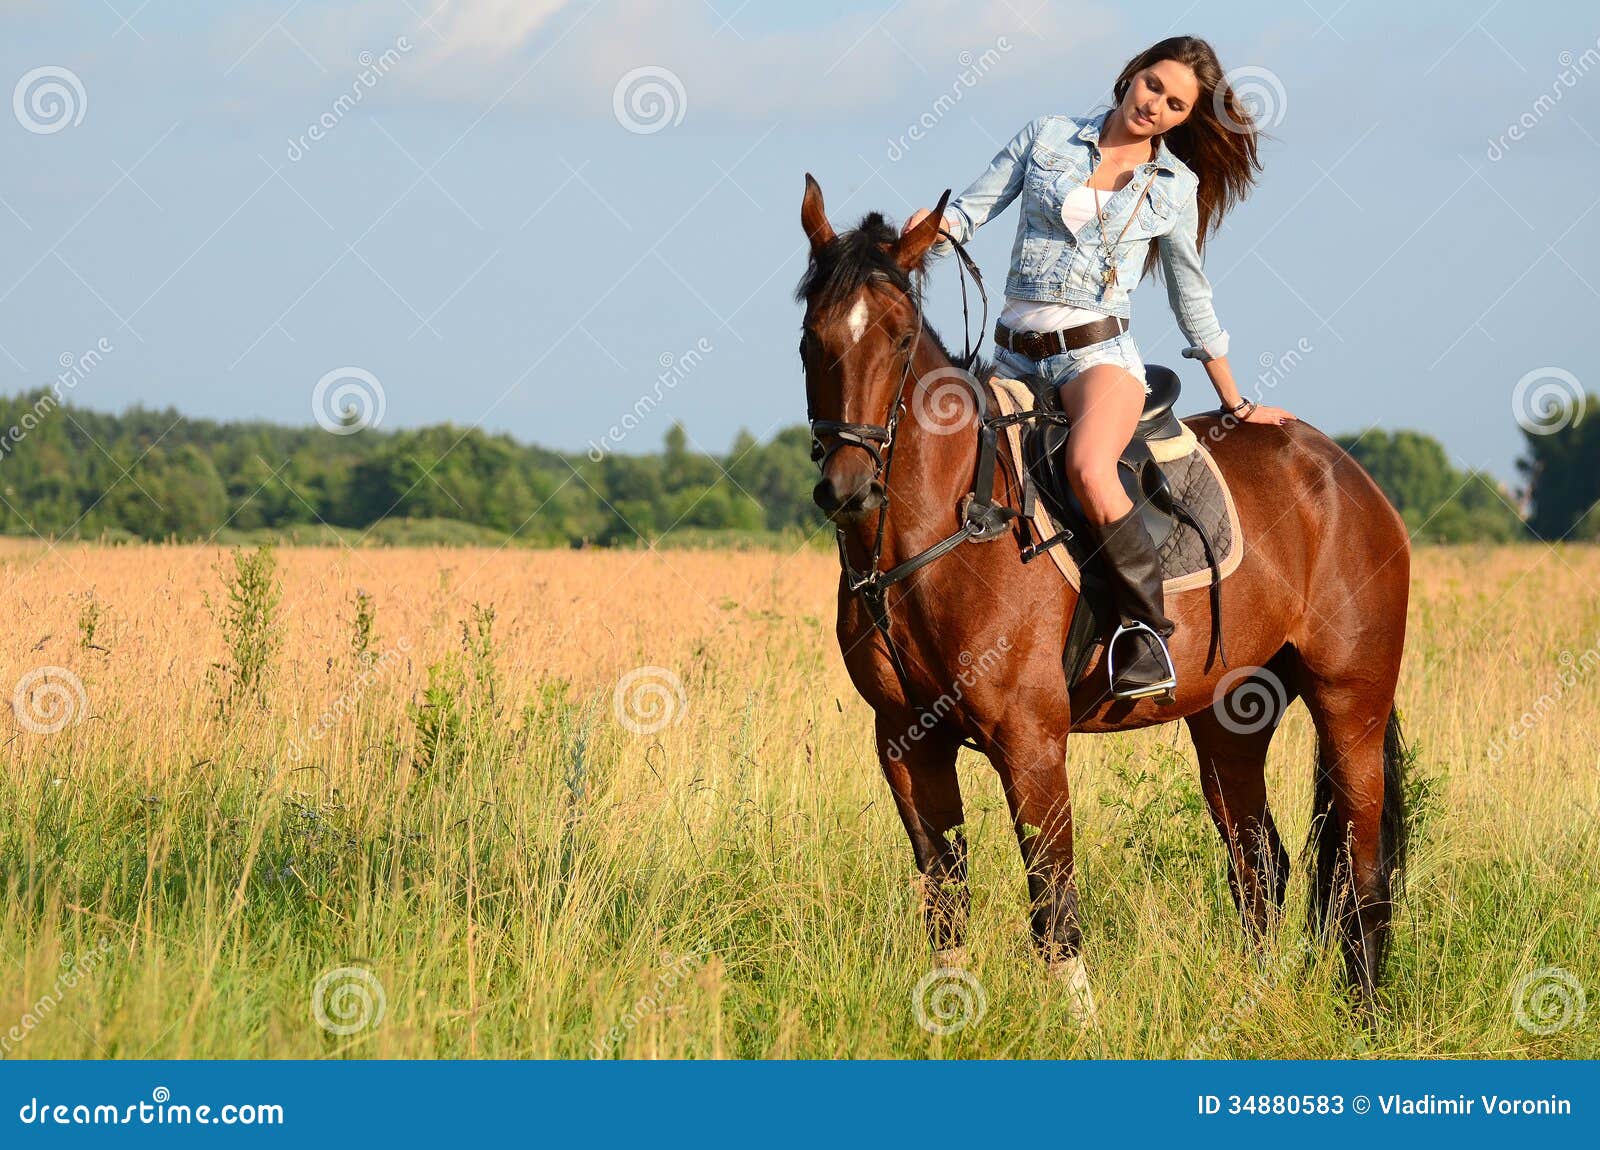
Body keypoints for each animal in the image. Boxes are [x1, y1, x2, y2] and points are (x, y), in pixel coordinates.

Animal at [793, 175, 1408, 1023]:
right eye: (810, 338)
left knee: (1361, 868)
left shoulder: (1030, 740)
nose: (849, 489)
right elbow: (944, 901)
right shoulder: (907, 743)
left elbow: (1053, 904)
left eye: (898, 337)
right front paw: (947, 1021)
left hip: (1351, 701)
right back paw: (1251, 1006)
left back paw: (1367, 1015)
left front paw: (1079, 1024)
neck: (946, 529)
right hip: (1230, 719)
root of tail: (1342, 472)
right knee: (1260, 867)